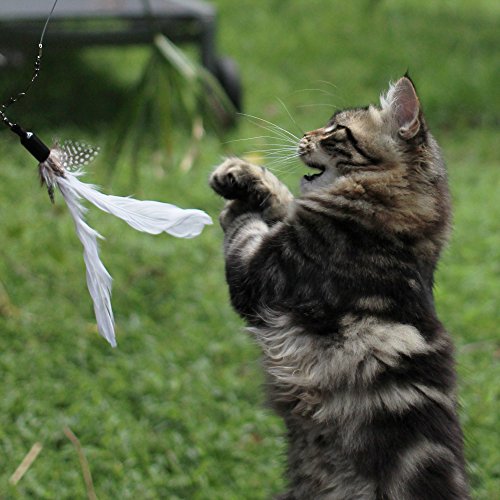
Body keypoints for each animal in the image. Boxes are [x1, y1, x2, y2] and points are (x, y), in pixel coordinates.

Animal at [209, 76, 469, 499]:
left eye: (337, 130)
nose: (305, 135)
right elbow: (283, 200)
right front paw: (243, 175)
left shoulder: (262, 270)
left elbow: (245, 227)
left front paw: (236, 188)